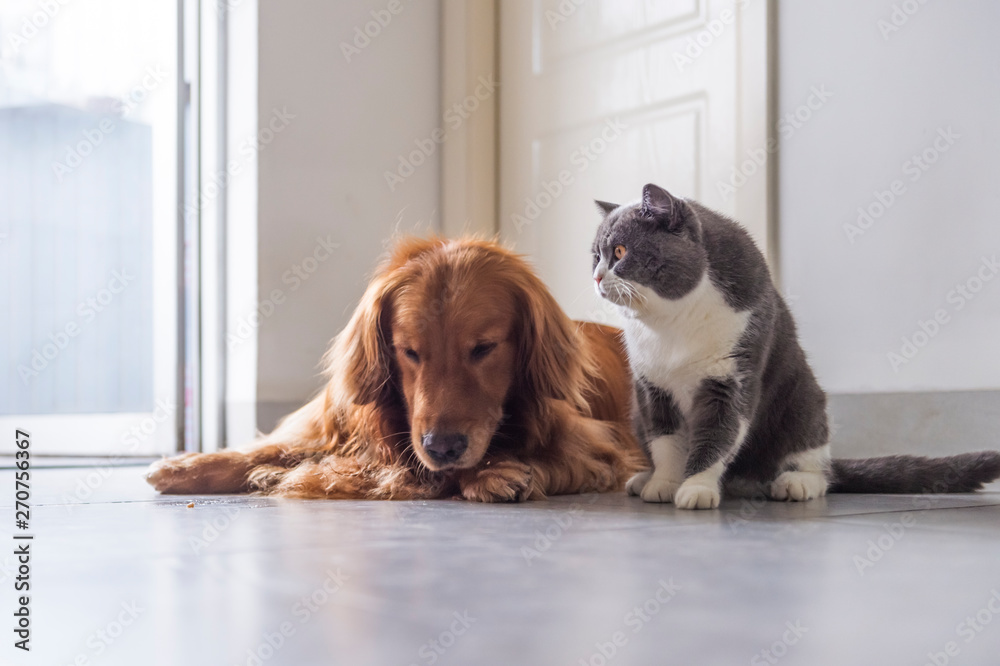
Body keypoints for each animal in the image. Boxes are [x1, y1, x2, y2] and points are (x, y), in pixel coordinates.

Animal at [592, 182, 1000, 508]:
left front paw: (696, 488)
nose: (596, 276)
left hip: (803, 398)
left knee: (818, 466)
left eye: (621, 252)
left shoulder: (733, 375)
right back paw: (644, 478)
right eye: (595, 255)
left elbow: (717, 434)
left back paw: (795, 483)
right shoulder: (651, 388)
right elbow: (666, 441)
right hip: (635, 412)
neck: (671, 323)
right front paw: (664, 482)